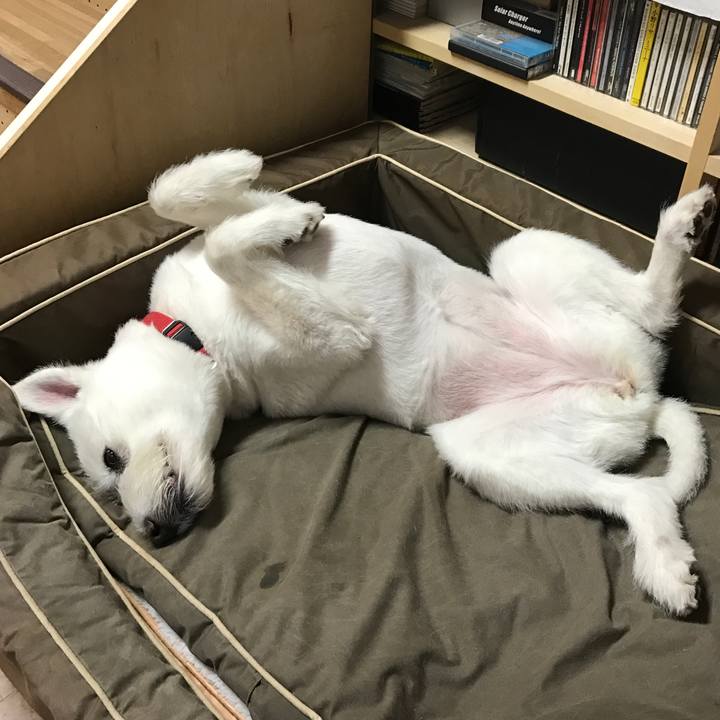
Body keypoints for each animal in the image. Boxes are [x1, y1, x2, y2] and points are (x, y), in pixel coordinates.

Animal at [14, 149, 715, 615]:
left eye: (110, 457)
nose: (154, 533)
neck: (198, 331)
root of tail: (643, 394)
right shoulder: (336, 334)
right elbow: (223, 245)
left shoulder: (251, 214)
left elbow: (182, 202)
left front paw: (245, 172)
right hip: (487, 453)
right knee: (639, 492)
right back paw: (665, 566)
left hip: (529, 257)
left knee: (652, 307)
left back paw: (682, 223)